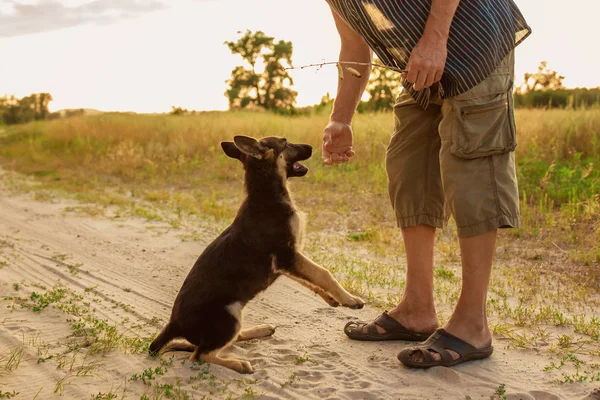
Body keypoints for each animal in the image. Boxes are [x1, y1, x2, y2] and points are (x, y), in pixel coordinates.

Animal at [150, 136, 366, 374]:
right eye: (285, 143)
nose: (312, 146)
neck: (267, 194)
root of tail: (174, 324)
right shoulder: (287, 255)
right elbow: (323, 273)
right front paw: (350, 299)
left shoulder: (288, 262)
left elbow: (311, 280)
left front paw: (331, 298)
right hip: (229, 317)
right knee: (200, 354)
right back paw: (239, 363)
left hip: (233, 319)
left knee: (219, 343)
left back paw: (259, 330)